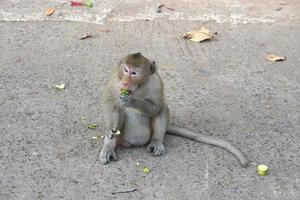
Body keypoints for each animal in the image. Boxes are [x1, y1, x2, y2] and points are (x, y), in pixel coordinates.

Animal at [98, 52, 248, 167]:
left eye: (134, 73)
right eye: (125, 70)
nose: (124, 82)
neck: (137, 88)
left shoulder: (156, 82)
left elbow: (156, 106)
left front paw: (132, 101)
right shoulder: (115, 80)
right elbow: (109, 103)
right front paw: (110, 131)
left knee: (163, 109)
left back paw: (157, 142)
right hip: (121, 137)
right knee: (120, 113)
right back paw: (108, 149)